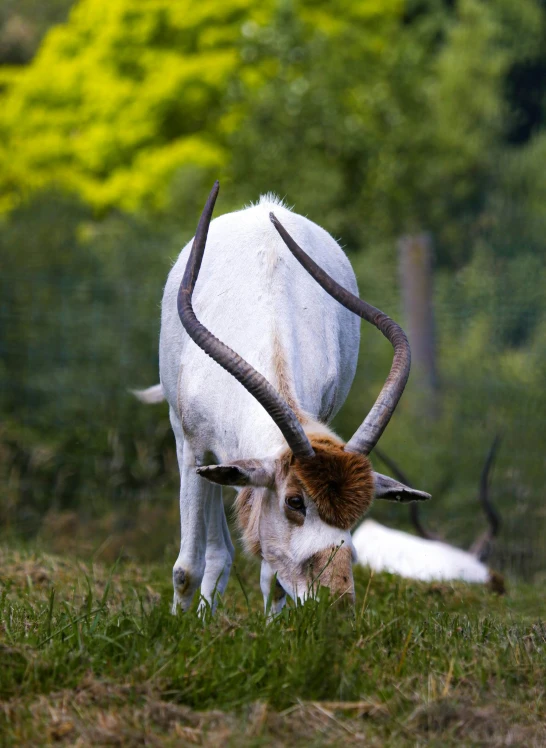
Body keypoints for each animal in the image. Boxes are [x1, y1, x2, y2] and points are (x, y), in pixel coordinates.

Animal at [136, 183, 430, 612]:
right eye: (295, 501)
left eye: (359, 510)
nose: (338, 602)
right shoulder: (194, 450)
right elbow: (186, 568)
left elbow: (272, 579)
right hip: (188, 441)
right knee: (215, 550)